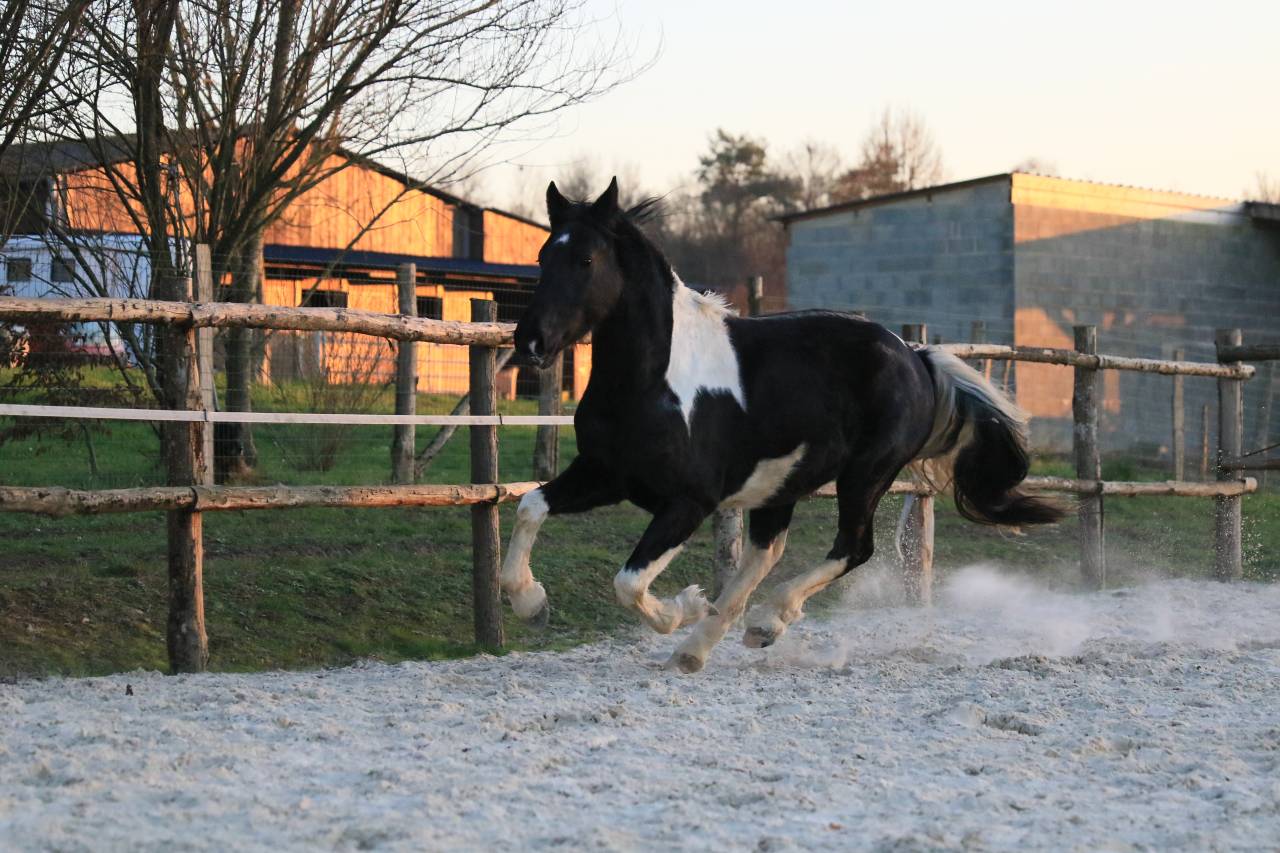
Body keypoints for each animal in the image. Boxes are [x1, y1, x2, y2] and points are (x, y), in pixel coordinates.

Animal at [500, 178, 1063, 673]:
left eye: (586, 259)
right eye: (543, 257)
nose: (530, 342)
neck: (651, 382)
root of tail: (914, 355)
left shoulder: (688, 501)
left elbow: (629, 581)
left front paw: (685, 604)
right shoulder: (605, 474)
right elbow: (531, 506)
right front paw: (531, 603)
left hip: (866, 474)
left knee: (852, 547)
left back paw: (764, 623)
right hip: (782, 482)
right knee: (767, 552)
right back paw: (699, 649)